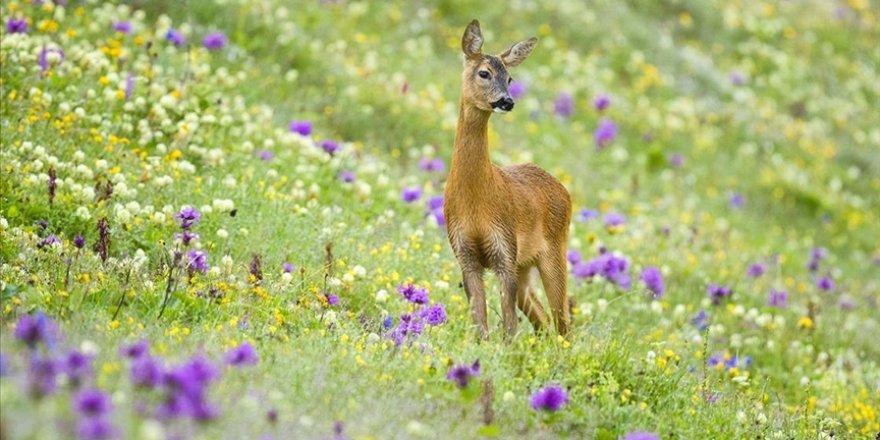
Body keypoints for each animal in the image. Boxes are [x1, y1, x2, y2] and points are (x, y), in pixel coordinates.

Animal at [444, 18, 576, 338]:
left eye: (511, 78)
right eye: (484, 72)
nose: (507, 101)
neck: (476, 201)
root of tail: (564, 190)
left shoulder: (505, 248)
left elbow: (509, 328)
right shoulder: (465, 253)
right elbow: (480, 323)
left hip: (554, 251)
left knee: (563, 324)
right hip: (525, 265)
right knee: (543, 320)